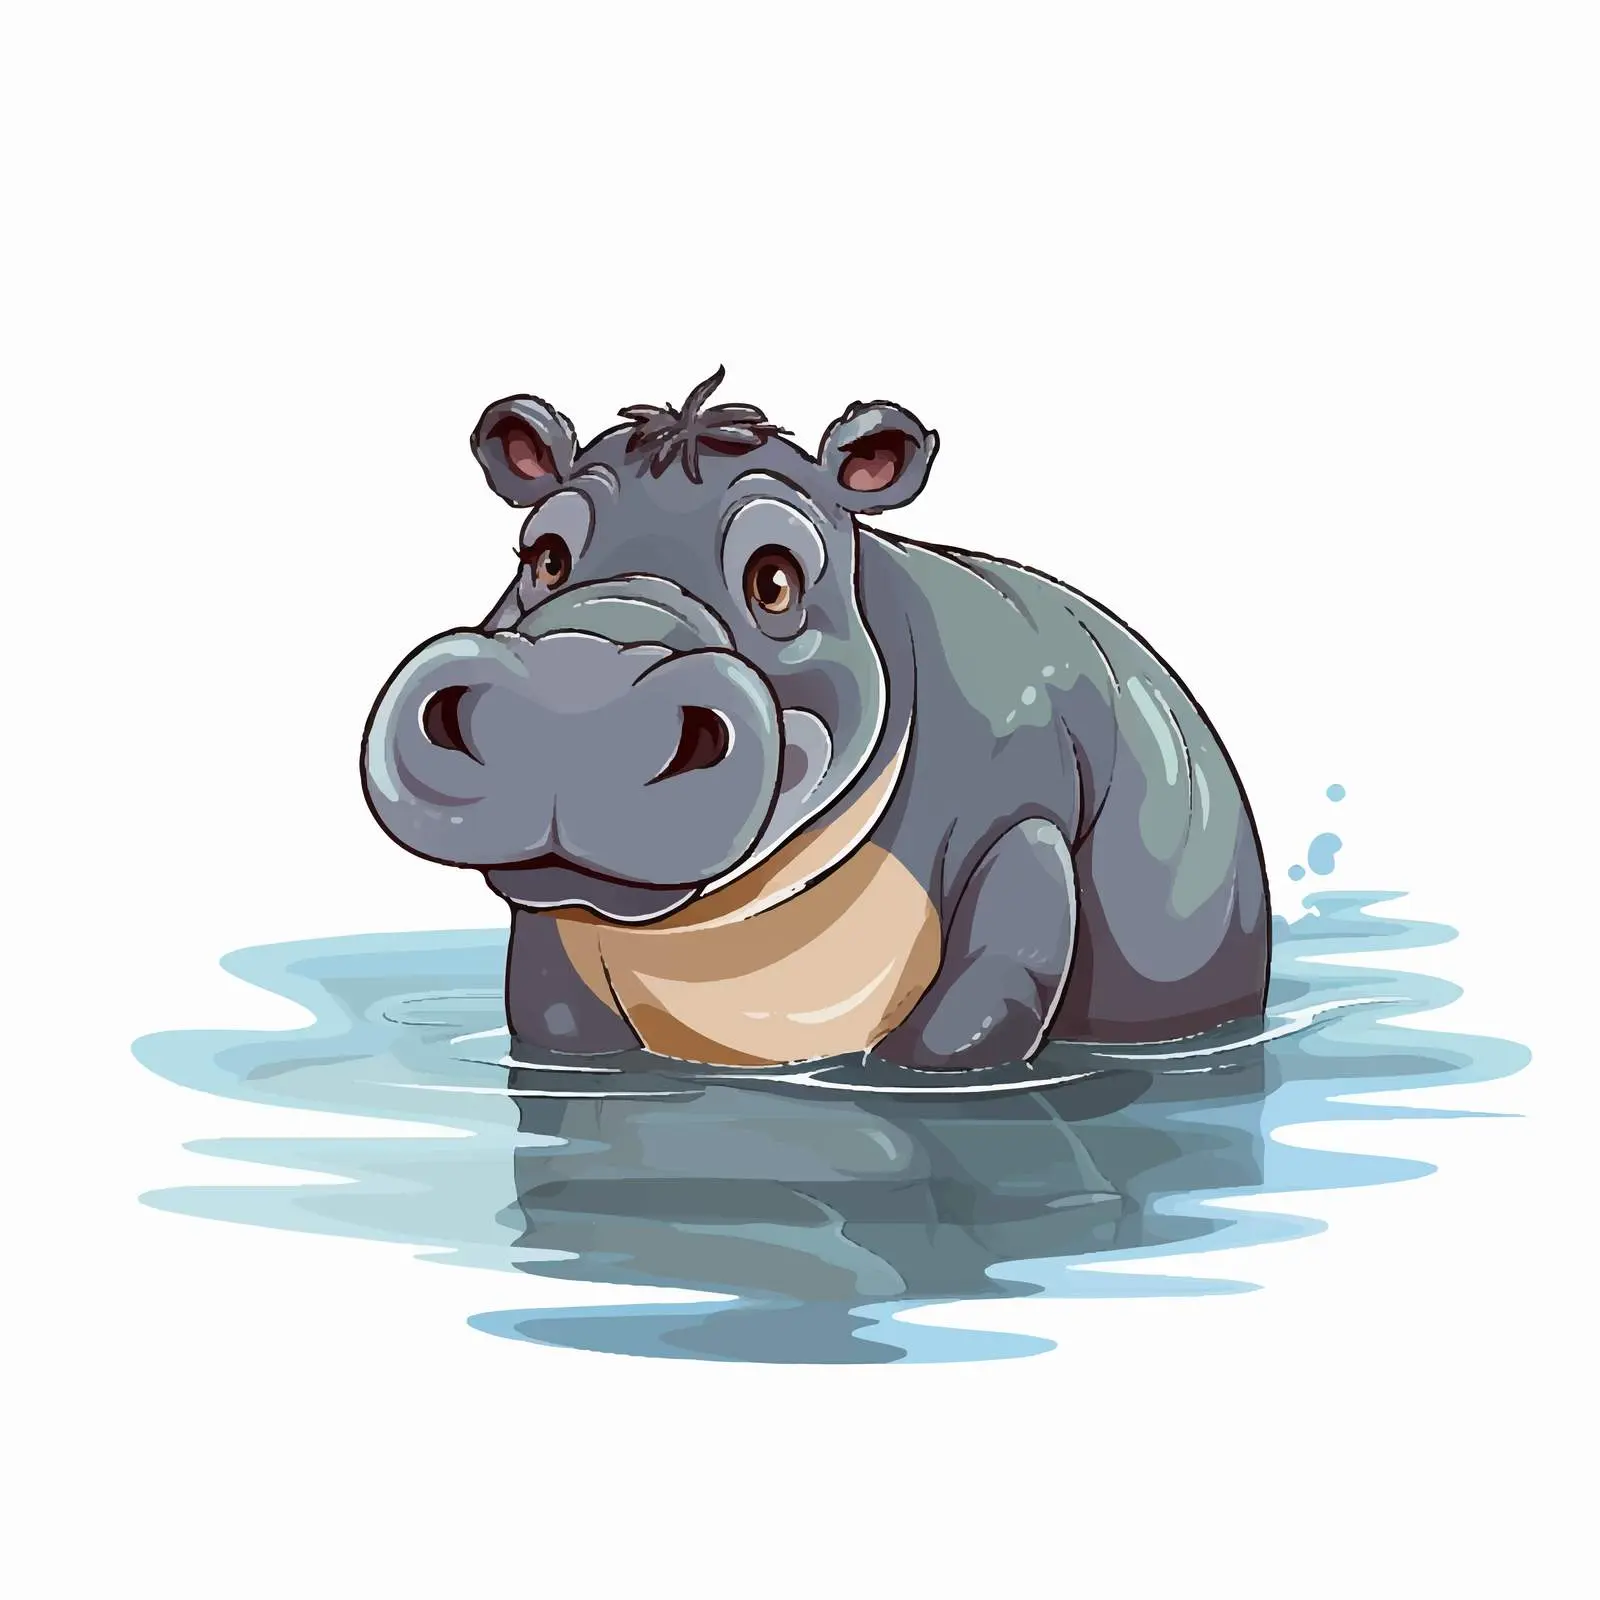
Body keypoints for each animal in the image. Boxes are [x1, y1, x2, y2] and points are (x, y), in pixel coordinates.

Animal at [361, 370, 1268, 1072]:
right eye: (543, 556)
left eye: (775, 577)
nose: (573, 698)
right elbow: (554, 1016)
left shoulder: (1022, 825)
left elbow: (971, 1013)